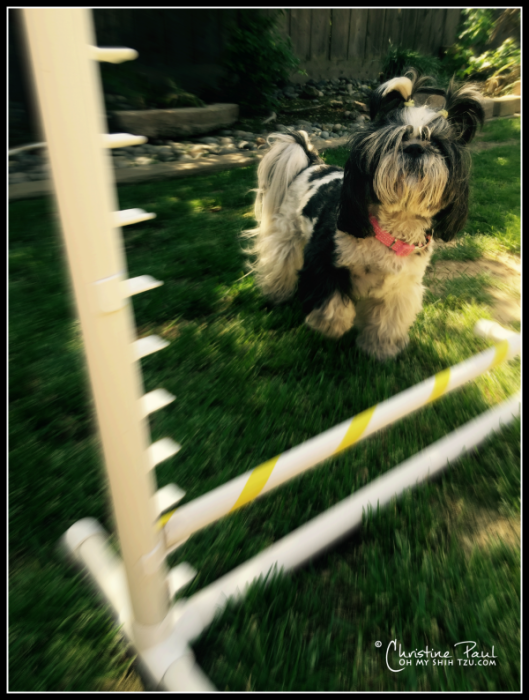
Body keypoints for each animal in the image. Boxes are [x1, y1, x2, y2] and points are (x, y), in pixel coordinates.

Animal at [243, 71, 482, 360]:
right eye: (393, 141)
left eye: (435, 143)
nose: (415, 148)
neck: (391, 229)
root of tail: (312, 163)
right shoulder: (324, 259)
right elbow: (332, 304)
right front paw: (330, 325)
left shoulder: (400, 288)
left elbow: (387, 321)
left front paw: (380, 349)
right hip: (287, 236)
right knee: (280, 262)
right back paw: (277, 293)